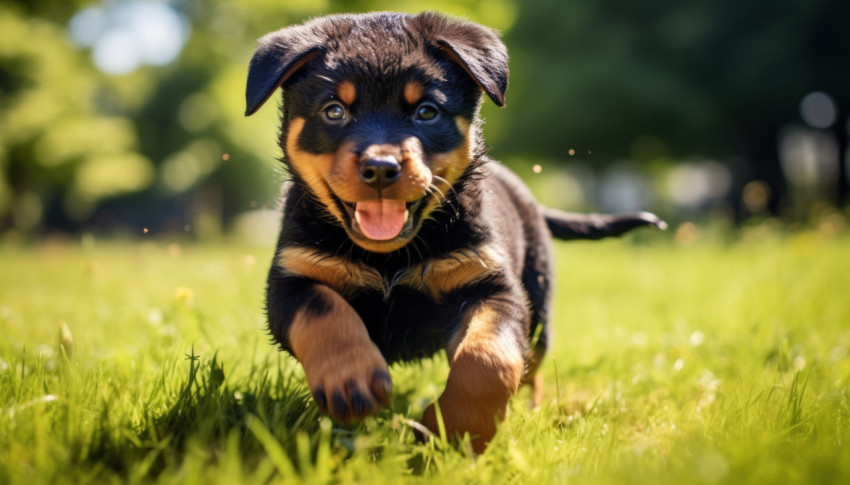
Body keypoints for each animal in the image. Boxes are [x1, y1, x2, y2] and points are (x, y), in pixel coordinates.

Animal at [245, 11, 664, 452]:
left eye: (426, 112)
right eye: (334, 111)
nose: (381, 168)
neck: (390, 256)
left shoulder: (490, 285)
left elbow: (488, 359)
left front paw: (457, 430)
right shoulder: (295, 276)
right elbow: (326, 314)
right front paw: (350, 377)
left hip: (539, 306)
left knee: (531, 365)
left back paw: (530, 410)